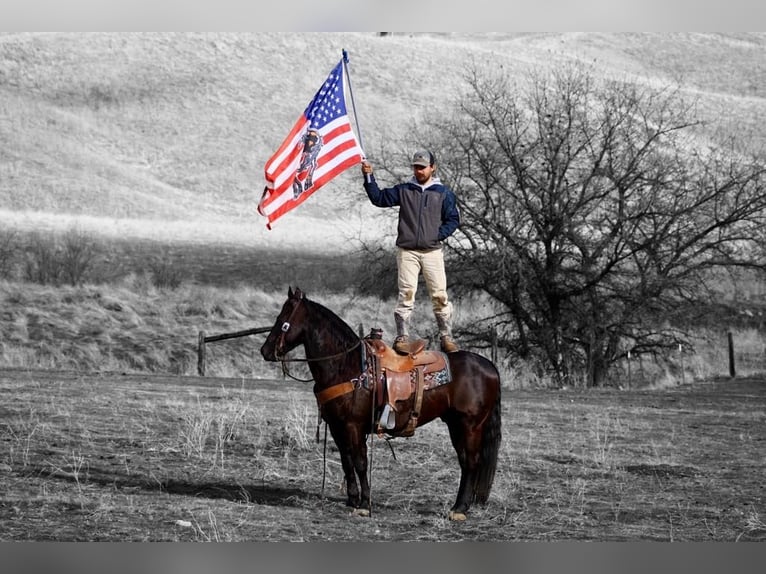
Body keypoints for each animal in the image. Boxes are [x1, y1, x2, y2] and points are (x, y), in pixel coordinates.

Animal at [260, 286, 508, 520]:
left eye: (283, 319)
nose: (265, 351)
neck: (346, 365)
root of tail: (489, 366)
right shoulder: (338, 427)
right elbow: (346, 461)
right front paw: (352, 499)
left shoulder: (353, 426)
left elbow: (360, 461)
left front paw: (363, 504)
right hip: (455, 425)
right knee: (465, 462)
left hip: (470, 425)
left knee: (471, 462)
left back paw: (460, 509)